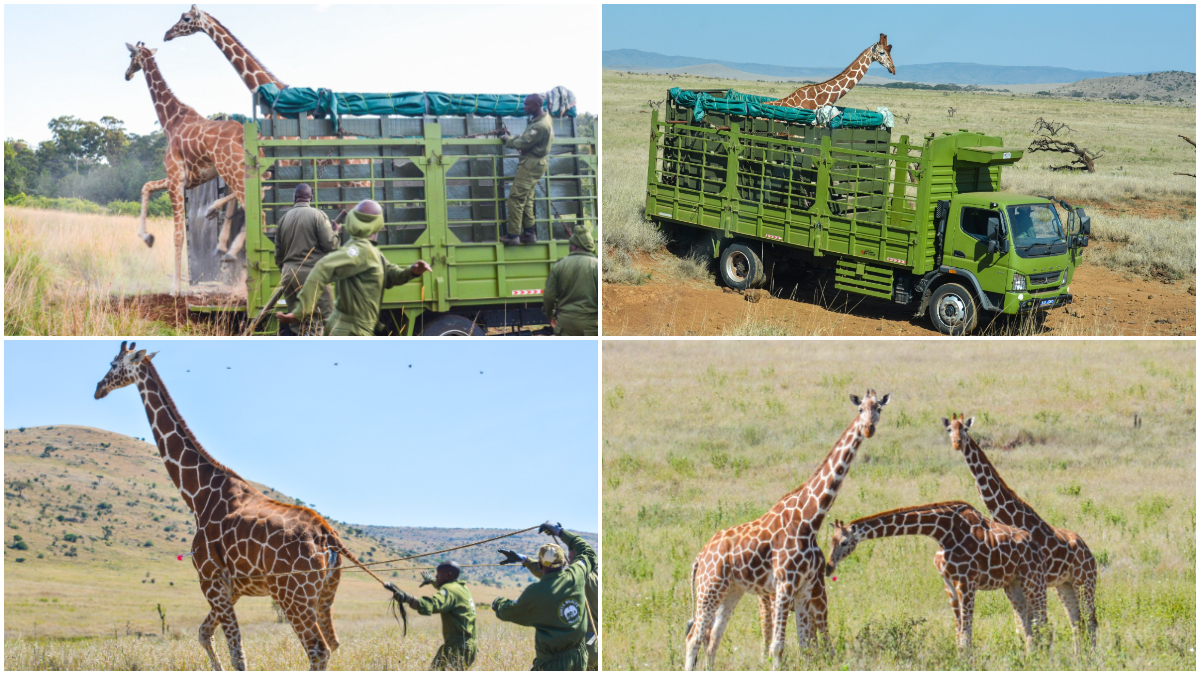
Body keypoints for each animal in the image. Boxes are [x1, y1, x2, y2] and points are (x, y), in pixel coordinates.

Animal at [97, 341, 391, 667]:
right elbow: (204, 634)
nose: (98, 389)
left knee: (318, 648)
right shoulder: (232, 588)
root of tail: (328, 535)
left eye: (113, 364)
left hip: (292, 594)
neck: (197, 495)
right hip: (324, 594)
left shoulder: (211, 580)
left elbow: (237, 652)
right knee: (334, 643)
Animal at [125, 40, 247, 293]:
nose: (127, 74)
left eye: (131, 56)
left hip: (231, 168)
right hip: (233, 168)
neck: (170, 120)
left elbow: (178, 234)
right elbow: (146, 186)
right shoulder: (183, 180)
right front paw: (147, 237)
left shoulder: (174, 179)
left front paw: (175, 289)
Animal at [686, 389, 892, 667]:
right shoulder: (784, 586)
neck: (810, 519)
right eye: (860, 409)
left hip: (731, 591)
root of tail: (700, 556)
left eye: (878, 408)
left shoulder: (804, 589)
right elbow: (778, 646)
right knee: (694, 639)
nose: (869, 428)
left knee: (712, 640)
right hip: (709, 588)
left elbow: (805, 647)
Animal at [940, 413, 1099, 648]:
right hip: (1065, 584)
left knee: (1091, 622)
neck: (1010, 516)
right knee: (1077, 623)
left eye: (965, 430)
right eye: (949, 429)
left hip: (1085, 581)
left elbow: (1033, 626)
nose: (957, 443)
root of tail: (1090, 554)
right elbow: (1021, 627)